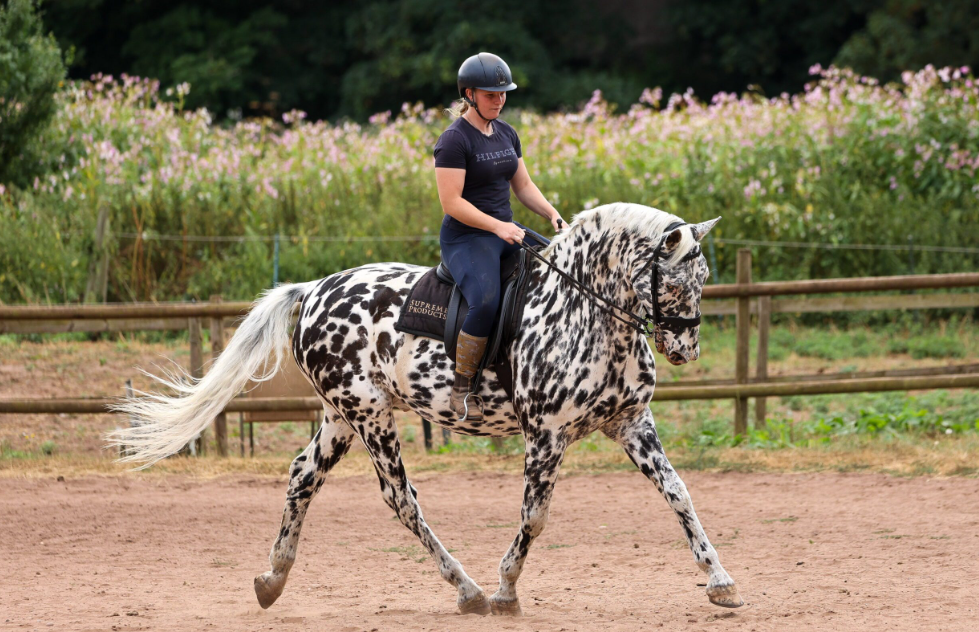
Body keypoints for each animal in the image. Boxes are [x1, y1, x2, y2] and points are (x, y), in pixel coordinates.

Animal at [109, 202, 743, 616]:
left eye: (706, 277)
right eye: (676, 280)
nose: (686, 349)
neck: (583, 312)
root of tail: (312, 290)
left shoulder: (632, 424)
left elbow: (679, 493)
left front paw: (721, 582)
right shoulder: (546, 436)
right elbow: (534, 517)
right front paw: (506, 590)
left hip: (341, 417)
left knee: (301, 477)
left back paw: (273, 578)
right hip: (371, 417)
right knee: (400, 499)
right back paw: (468, 590)